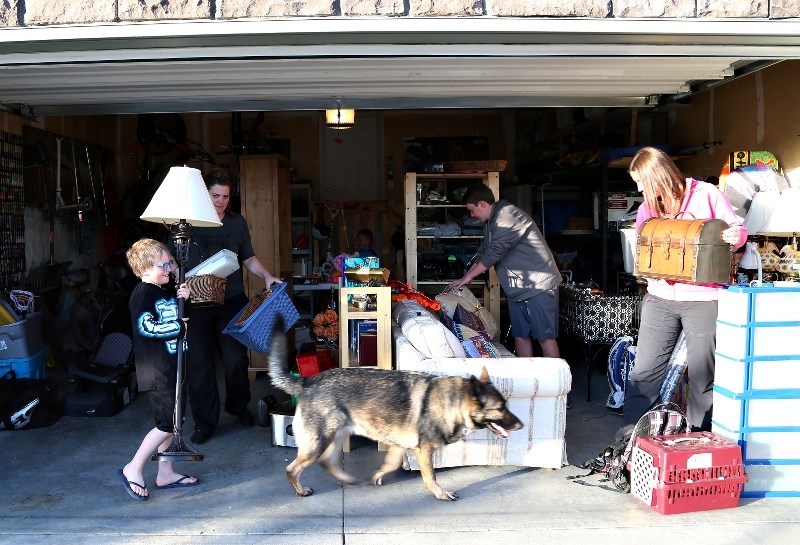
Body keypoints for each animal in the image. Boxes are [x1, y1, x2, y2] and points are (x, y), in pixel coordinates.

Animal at [268, 326, 524, 500]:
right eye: (499, 409)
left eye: (506, 405)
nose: (521, 426)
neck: (452, 402)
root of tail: (308, 382)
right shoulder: (423, 451)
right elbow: (431, 476)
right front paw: (440, 493)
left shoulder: (401, 446)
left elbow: (390, 463)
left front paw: (379, 475)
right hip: (318, 442)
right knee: (292, 469)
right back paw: (300, 490)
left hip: (336, 437)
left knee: (327, 462)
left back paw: (346, 479)